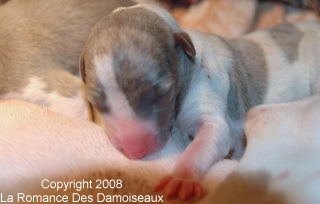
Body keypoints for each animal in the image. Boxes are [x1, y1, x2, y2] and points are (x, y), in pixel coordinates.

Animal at [80, 3, 320, 201]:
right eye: (97, 103)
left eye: (161, 93)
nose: (135, 152)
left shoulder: (207, 90)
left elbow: (212, 134)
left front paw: (182, 177)